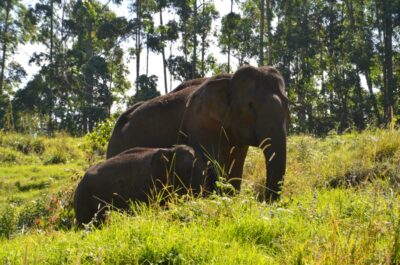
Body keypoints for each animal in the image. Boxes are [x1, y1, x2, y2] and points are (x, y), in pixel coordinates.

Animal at [106, 65, 288, 199]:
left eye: (287, 103)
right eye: (250, 106)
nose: (263, 200)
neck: (228, 79)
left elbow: (236, 163)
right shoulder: (200, 124)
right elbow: (214, 162)